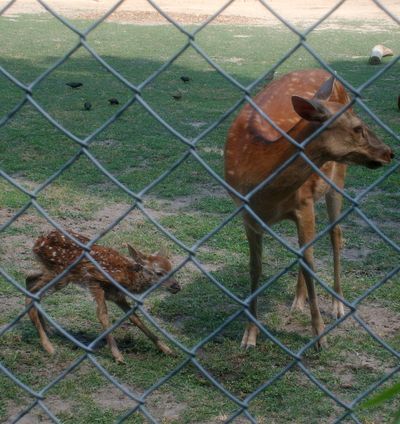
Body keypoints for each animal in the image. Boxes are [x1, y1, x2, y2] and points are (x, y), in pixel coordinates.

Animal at [25, 230, 180, 362]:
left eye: (171, 269)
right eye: (159, 272)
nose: (177, 287)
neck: (126, 276)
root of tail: (37, 242)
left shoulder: (117, 296)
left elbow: (135, 318)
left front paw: (167, 350)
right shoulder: (95, 282)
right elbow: (102, 314)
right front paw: (118, 356)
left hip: (53, 272)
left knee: (29, 280)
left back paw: (48, 330)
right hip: (60, 274)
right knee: (32, 292)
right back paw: (49, 347)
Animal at [225, 68, 394, 348]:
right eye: (358, 127)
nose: (389, 152)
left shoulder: (303, 205)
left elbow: (310, 264)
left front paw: (319, 336)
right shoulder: (247, 215)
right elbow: (255, 268)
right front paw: (249, 335)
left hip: (337, 178)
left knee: (336, 234)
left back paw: (338, 305)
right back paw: (298, 301)